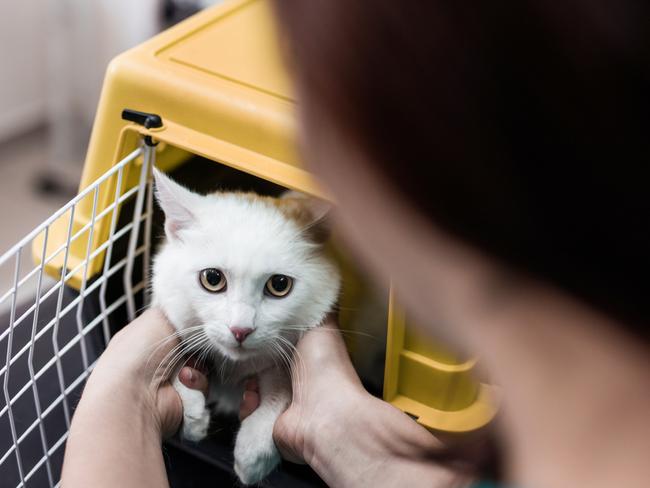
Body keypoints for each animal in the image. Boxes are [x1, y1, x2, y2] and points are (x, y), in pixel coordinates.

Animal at [150, 169, 342, 484]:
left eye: (279, 285)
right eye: (212, 278)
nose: (241, 329)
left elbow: (283, 388)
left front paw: (254, 453)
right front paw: (191, 414)